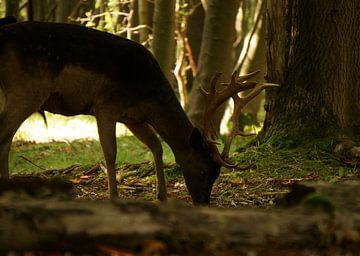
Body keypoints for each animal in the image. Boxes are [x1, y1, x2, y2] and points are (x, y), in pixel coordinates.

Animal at [0, 17, 278, 205]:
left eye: (217, 174)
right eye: (203, 170)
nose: (203, 202)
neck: (148, 96)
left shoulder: (133, 117)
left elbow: (156, 146)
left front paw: (161, 195)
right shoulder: (106, 105)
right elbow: (110, 153)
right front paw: (114, 197)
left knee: (6, 136)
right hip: (25, 91)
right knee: (5, 134)